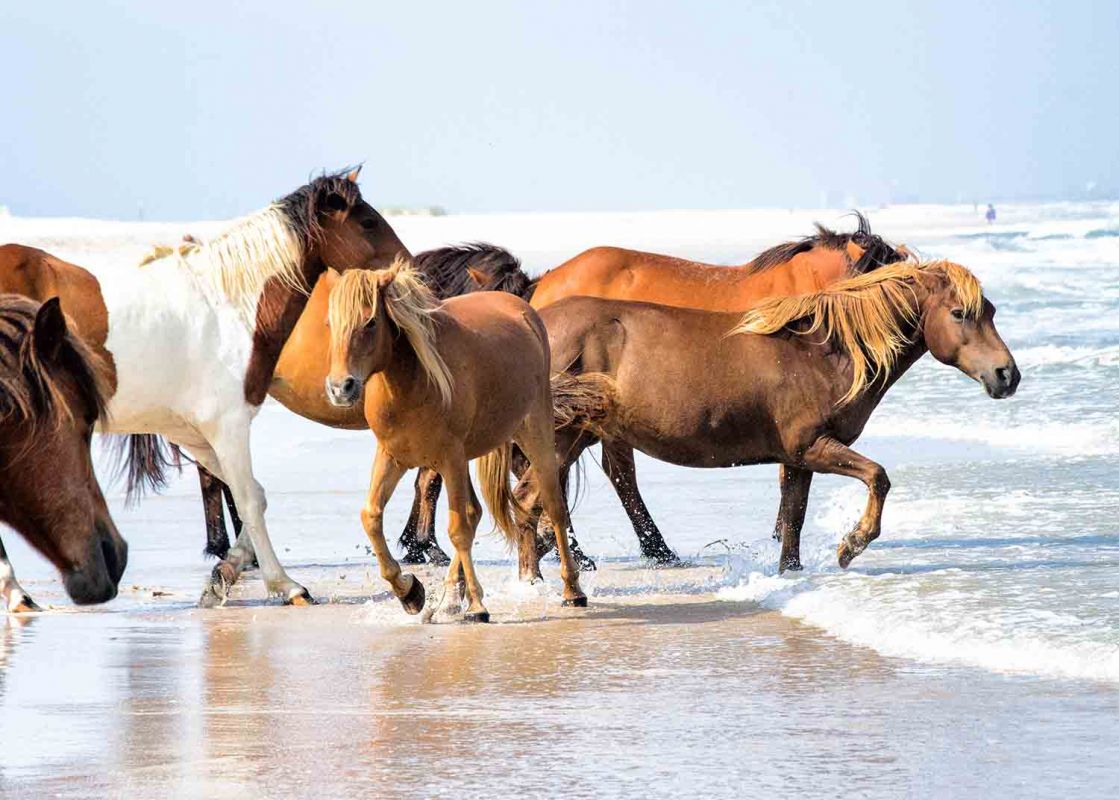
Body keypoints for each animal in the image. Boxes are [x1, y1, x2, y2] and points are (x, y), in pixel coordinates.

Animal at [323, 262, 586, 622]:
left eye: (371, 321)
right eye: (329, 323)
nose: (340, 388)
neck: (412, 384)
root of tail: (522, 309)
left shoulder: (450, 459)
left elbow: (458, 529)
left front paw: (475, 605)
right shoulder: (394, 456)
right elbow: (372, 517)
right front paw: (410, 592)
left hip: (536, 434)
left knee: (555, 507)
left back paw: (572, 590)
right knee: (476, 513)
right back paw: (448, 599)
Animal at [514, 258, 1020, 579]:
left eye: (992, 311)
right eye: (959, 313)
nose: (1007, 375)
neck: (822, 352)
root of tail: (534, 320)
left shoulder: (798, 459)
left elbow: (793, 519)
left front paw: (790, 573)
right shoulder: (813, 447)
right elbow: (878, 477)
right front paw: (850, 546)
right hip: (564, 439)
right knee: (531, 502)